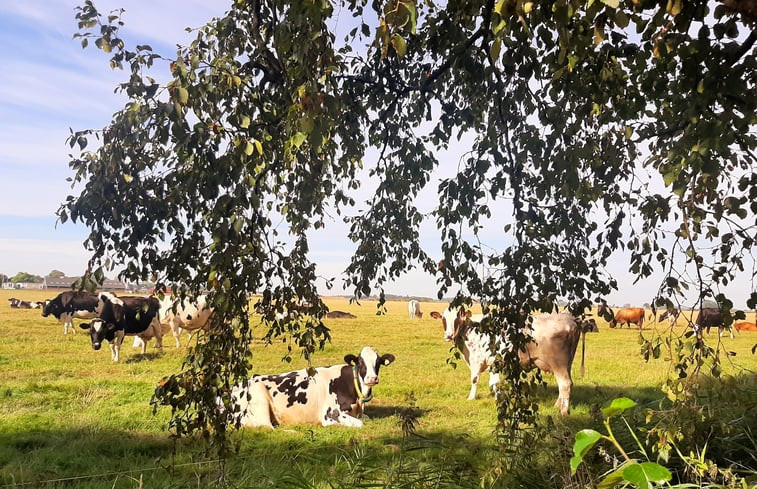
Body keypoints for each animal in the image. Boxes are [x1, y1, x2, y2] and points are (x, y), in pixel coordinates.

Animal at [230, 344, 396, 428]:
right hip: (258, 398)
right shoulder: (330, 414)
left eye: (379, 362)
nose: (372, 378)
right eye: (360, 362)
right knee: (266, 427)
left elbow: (366, 418)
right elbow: (360, 423)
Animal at [428, 306, 580, 414]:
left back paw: (563, 412)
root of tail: (571, 321)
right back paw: (557, 405)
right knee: (565, 384)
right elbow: (494, 383)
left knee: (565, 384)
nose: (448, 335)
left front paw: (471, 397)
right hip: (567, 364)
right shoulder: (493, 363)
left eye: (456, 319)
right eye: (443, 319)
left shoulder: (476, 360)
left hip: (558, 364)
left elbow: (475, 380)